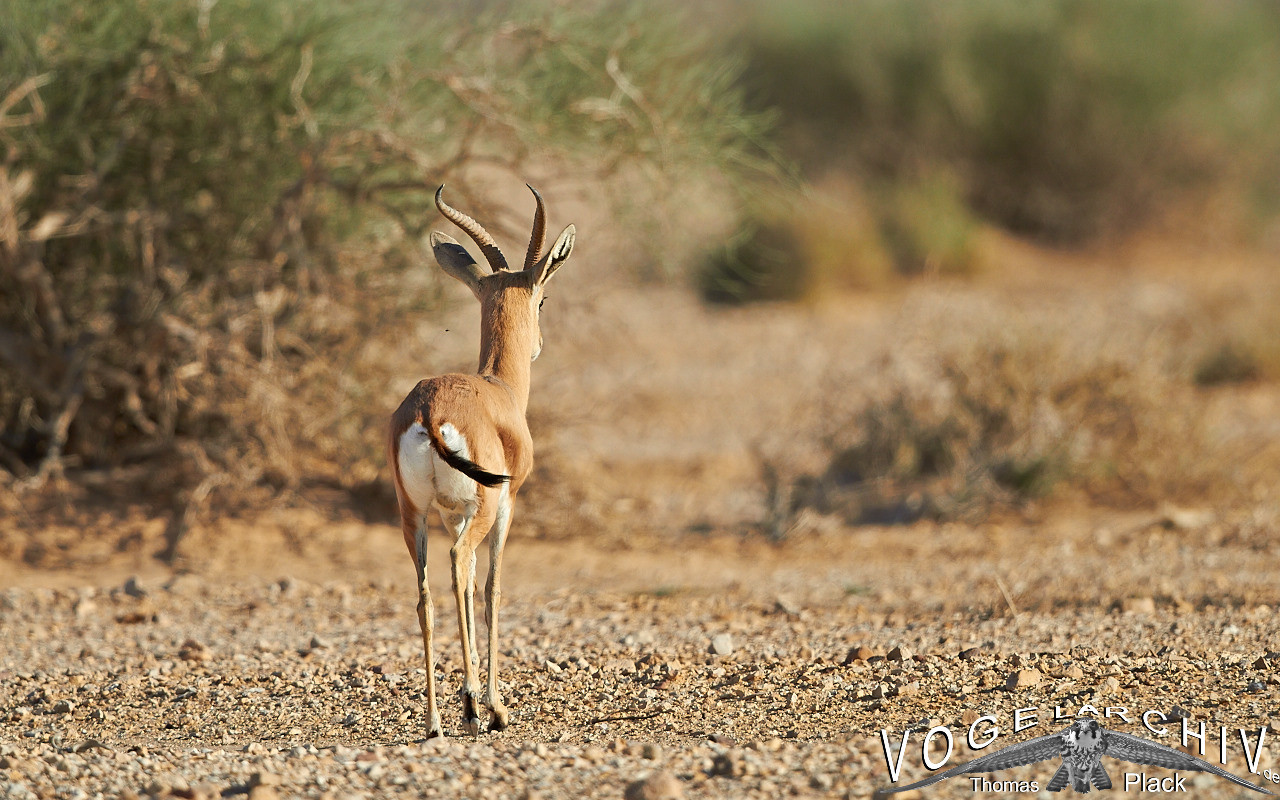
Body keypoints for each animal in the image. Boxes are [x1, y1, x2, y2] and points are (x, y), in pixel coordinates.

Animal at [388, 184, 575, 737]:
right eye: (542, 296)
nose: (539, 345)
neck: (500, 390)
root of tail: (428, 408)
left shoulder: (453, 513)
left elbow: (468, 590)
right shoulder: (506, 505)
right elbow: (490, 589)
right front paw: (492, 705)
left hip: (413, 514)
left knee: (427, 595)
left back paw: (434, 721)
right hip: (483, 510)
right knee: (457, 566)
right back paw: (475, 708)